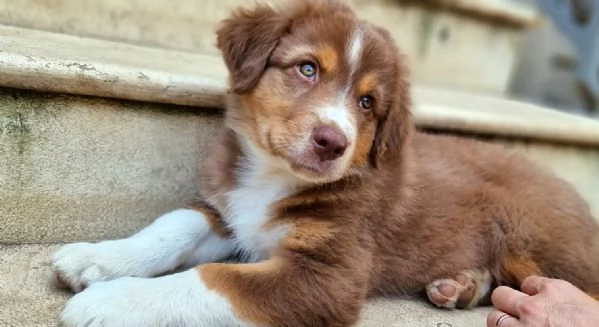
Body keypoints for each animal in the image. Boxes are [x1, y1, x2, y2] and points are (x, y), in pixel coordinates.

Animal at [52, 0, 599, 327]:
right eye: (308, 69)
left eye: (367, 103)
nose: (331, 142)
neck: (273, 178)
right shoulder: (229, 211)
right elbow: (174, 225)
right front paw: (96, 258)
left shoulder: (327, 276)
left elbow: (212, 279)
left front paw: (111, 301)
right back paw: (460, 286)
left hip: (539, 243)